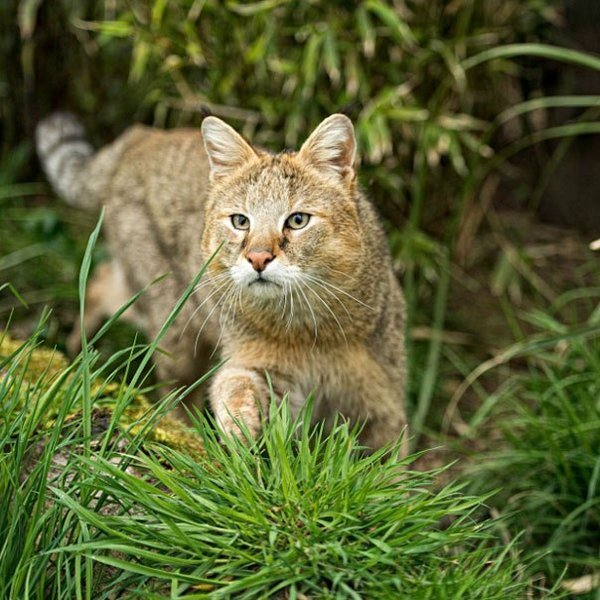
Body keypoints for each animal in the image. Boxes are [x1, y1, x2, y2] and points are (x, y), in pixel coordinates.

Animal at [36, 111, 408, 450]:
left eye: (297, 220)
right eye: (240, 221)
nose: (258, 259)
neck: (310, 329)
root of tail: (142, 135)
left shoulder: (385, 406)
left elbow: (389, 471)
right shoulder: (257, 365)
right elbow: (234, 385)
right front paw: (238, 422)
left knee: (101, 280)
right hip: (175, 331)